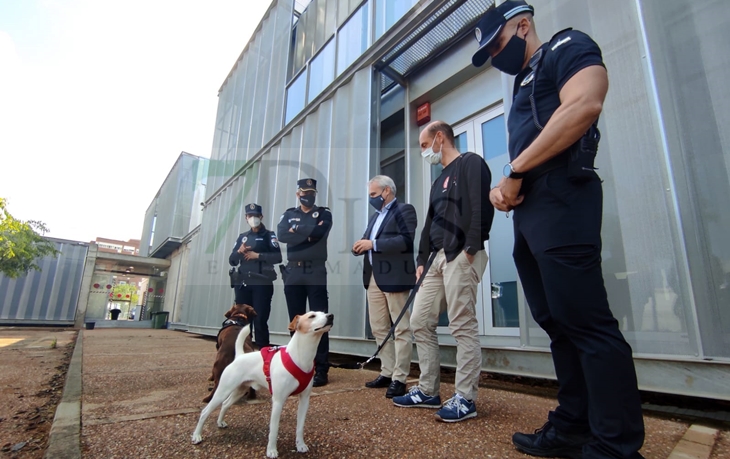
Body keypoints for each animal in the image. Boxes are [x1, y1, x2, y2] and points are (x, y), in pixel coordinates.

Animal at [191, 310, 332, 458]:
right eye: (312, 316)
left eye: (324, 313)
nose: (331, 316)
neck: (301, 357)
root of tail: (239, 356)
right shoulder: (278, 401)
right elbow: (274, 429)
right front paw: (271, 450)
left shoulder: (304, 400)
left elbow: (300, 426)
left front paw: (300, 445)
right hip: (222, 391)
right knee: (205, 412)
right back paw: (197, 436)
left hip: (240, 390)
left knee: (225, 404)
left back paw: (220, 422)